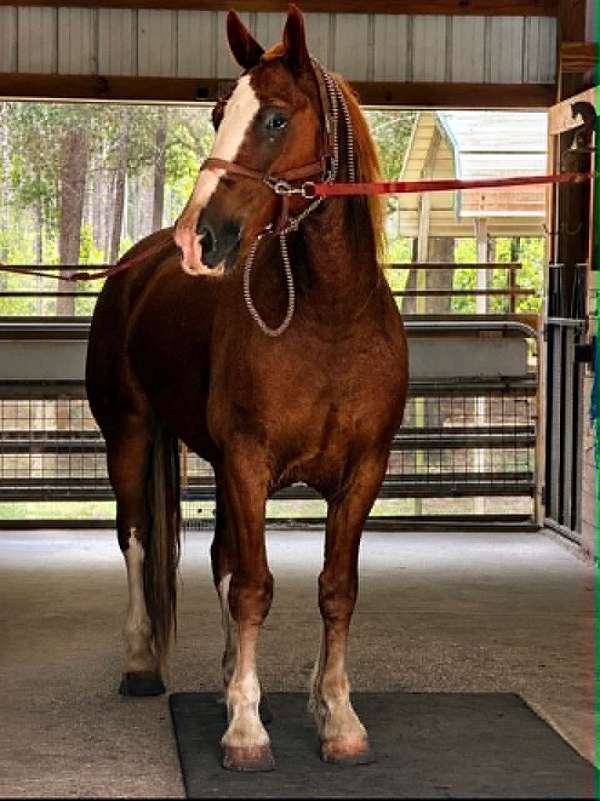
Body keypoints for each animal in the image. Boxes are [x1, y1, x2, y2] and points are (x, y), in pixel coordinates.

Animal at [86, 5, 408, 773]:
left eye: (275, 118)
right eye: (215, 115)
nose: (197, 240)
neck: (330, 321)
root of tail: (136, 267)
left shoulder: (363, 472)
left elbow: (335, 589)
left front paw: (336, 714)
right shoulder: (248, 461)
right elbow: (257, 588)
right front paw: (246, 729)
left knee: (222, 562)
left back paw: (234, 671)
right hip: (130, 437)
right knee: (137, 539)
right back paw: (142, 661)